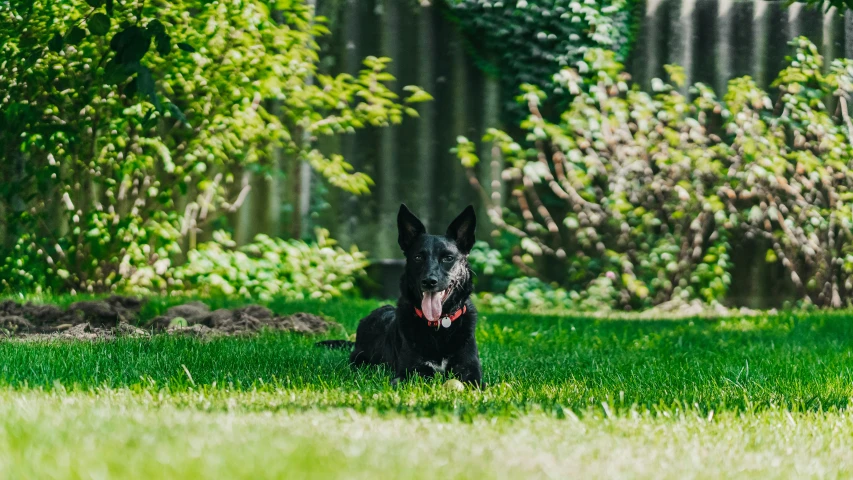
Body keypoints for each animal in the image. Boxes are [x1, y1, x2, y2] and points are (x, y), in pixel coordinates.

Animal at [318, 203, 482, 386]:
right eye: (418, 257)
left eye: (448, 258)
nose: (429, 281)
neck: (439, 325)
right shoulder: (411, 371)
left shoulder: (470, 370)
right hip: (360, 359)